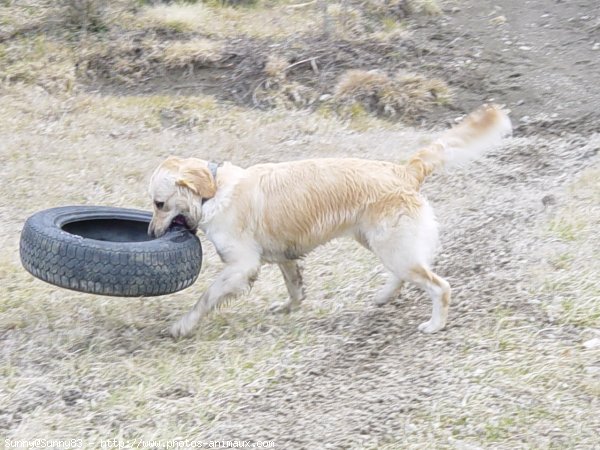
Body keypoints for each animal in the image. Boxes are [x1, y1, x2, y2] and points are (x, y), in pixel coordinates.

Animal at [149, 104, 510, 338]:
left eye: (158, 204)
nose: (151, 233)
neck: (214, 190)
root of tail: (405, 171)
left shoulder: (240, 266)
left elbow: (206, 297)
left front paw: (183, 325)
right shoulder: (285, 257)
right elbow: (295, 288)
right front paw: (288, 308)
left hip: (394, 247)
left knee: (440, 286)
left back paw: (435, 324)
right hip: (381, 242)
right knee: (405, 276)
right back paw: (383, 297)